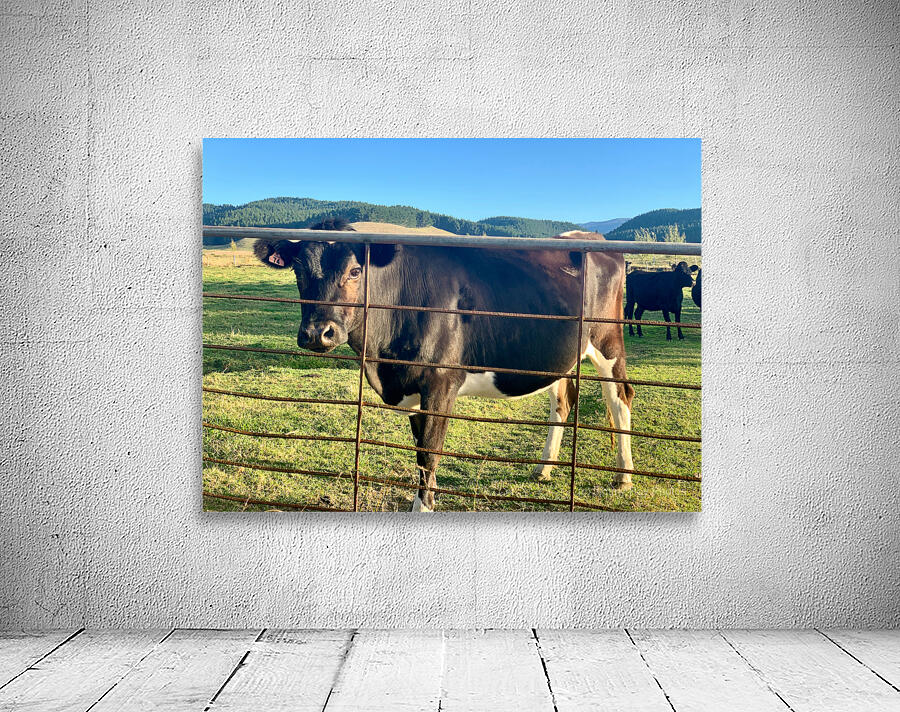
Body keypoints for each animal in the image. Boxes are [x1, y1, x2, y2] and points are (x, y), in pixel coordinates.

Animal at [254, 221, 635, 511]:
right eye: (299, 271)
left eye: (355, 270)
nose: (318, 333)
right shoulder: (411, 386)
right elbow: (420, 453)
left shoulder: (440, 383)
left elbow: (429, 454)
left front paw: (422, 509)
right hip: (560, 356)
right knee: (563, 401)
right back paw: (544, 468)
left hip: (607, 340)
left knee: (620, 397)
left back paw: (624, 475)